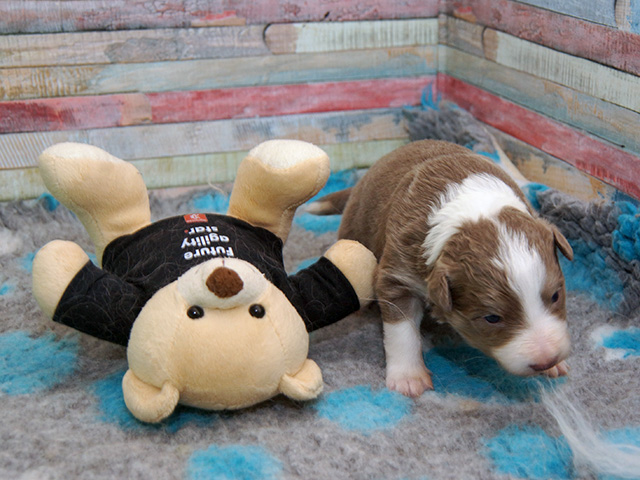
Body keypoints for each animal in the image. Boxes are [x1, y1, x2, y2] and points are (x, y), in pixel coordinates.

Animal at [310, 140, 573, 397]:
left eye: (556, 295)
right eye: (492, 318)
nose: (546, 359)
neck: (473, 210)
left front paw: (554, 366)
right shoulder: (398, 272)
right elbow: (401, 330)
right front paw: (409, 378)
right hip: (355, 229)